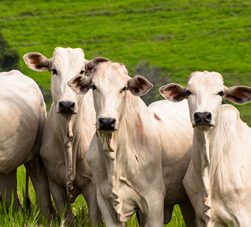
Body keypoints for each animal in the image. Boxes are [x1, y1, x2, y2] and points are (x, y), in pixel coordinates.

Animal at [23, 48, 100, 225]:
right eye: (54, 70)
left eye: (82, 71)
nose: (67, 104)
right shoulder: (55, 184)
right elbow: (67, 218)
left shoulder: (92, 185)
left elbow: (94, 218)